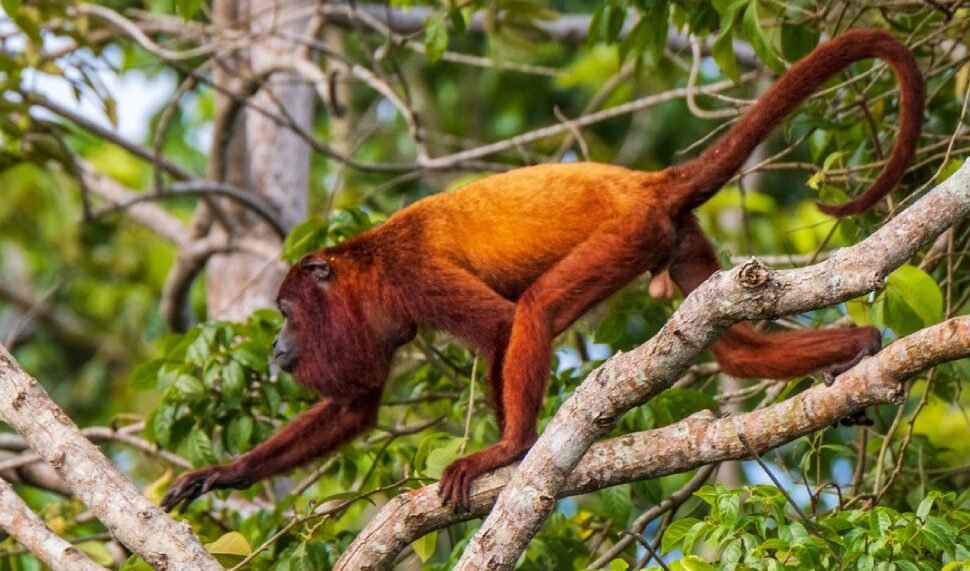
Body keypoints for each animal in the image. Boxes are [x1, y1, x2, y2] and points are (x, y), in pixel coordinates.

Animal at [161, 29, 923, 512]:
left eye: (285, 312)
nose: (276, 347)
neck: (362, 269)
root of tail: (647, 182)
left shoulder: (408, 275)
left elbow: (500, 326)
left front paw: (502, 452)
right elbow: (356, 405)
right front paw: (224, 472)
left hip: (625, 234)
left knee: (535, 310)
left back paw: (516, 445)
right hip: (678, 242)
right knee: (735, 348)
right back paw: (857, 346)